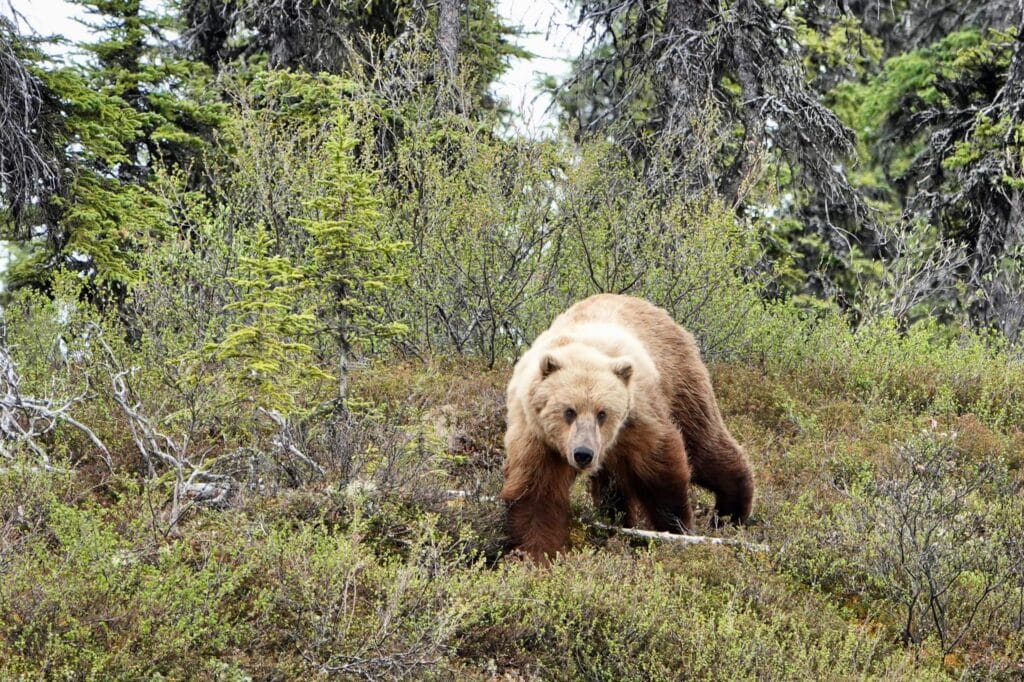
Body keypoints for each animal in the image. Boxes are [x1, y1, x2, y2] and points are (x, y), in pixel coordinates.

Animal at [501, 294, 753, 561]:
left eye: (602, 413)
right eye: (569, 411)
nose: (583, 454)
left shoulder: (638, 418)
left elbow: (661, 473)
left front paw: (675, 531)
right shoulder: (537, 435)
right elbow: (537, 494)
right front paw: (538, 555)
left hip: (681, 382)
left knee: (705, 447)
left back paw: (731, 512)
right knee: (613, 487)